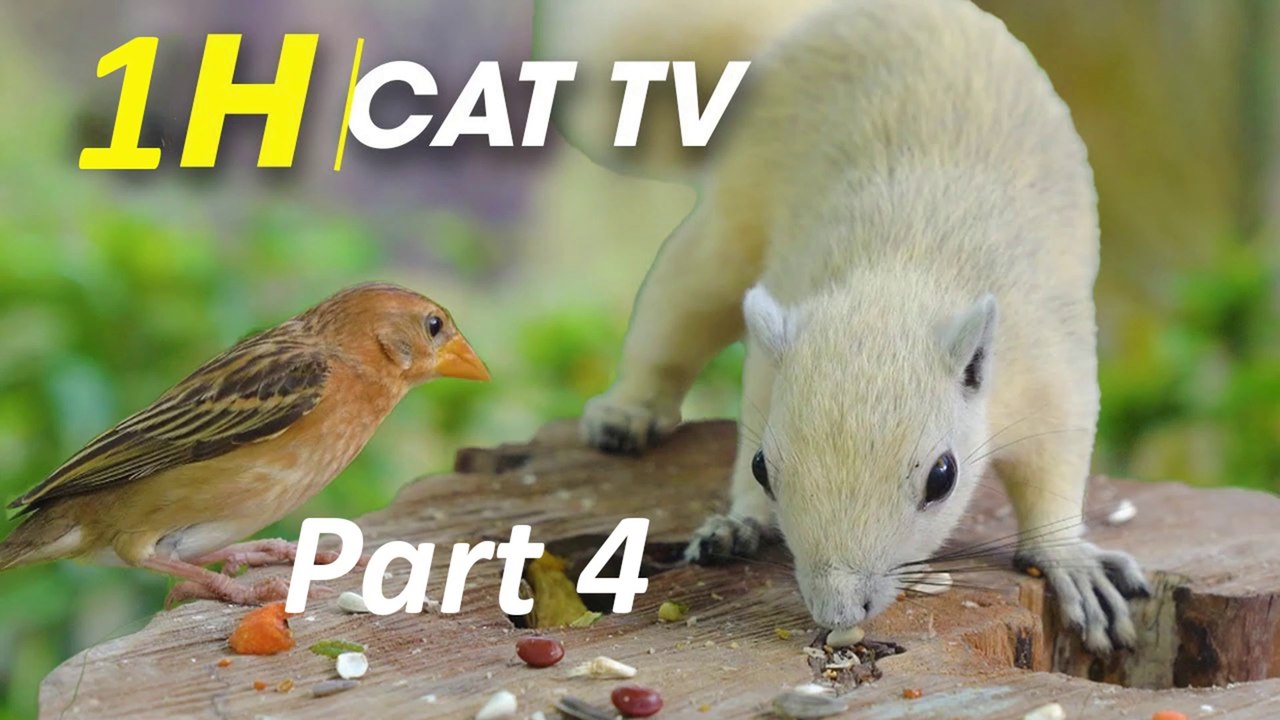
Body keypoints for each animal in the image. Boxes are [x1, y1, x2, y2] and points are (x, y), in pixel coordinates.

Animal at [579, 0, 1150, 654]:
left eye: (943, 478)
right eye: (762, 467)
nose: (838, 610)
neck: (897, 279)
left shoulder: (1049, 367)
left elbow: (1055, 464)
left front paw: (1068, 560)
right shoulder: (774, 348)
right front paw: (742, 519)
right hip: (730, 225)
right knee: (678, 308)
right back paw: (627, 414)